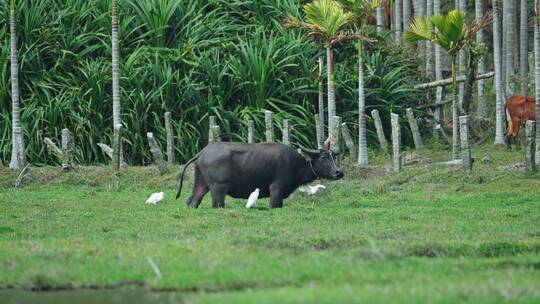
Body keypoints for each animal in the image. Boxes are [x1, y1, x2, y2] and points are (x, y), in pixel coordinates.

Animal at [177, 141, 346, 208]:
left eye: (334, 156)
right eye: (323, 157)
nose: (338, 172)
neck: (296, 164)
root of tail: (204, 152)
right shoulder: (276, 189)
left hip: (201, 184)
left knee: (192, 201)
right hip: (218, 188)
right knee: (217, 204)